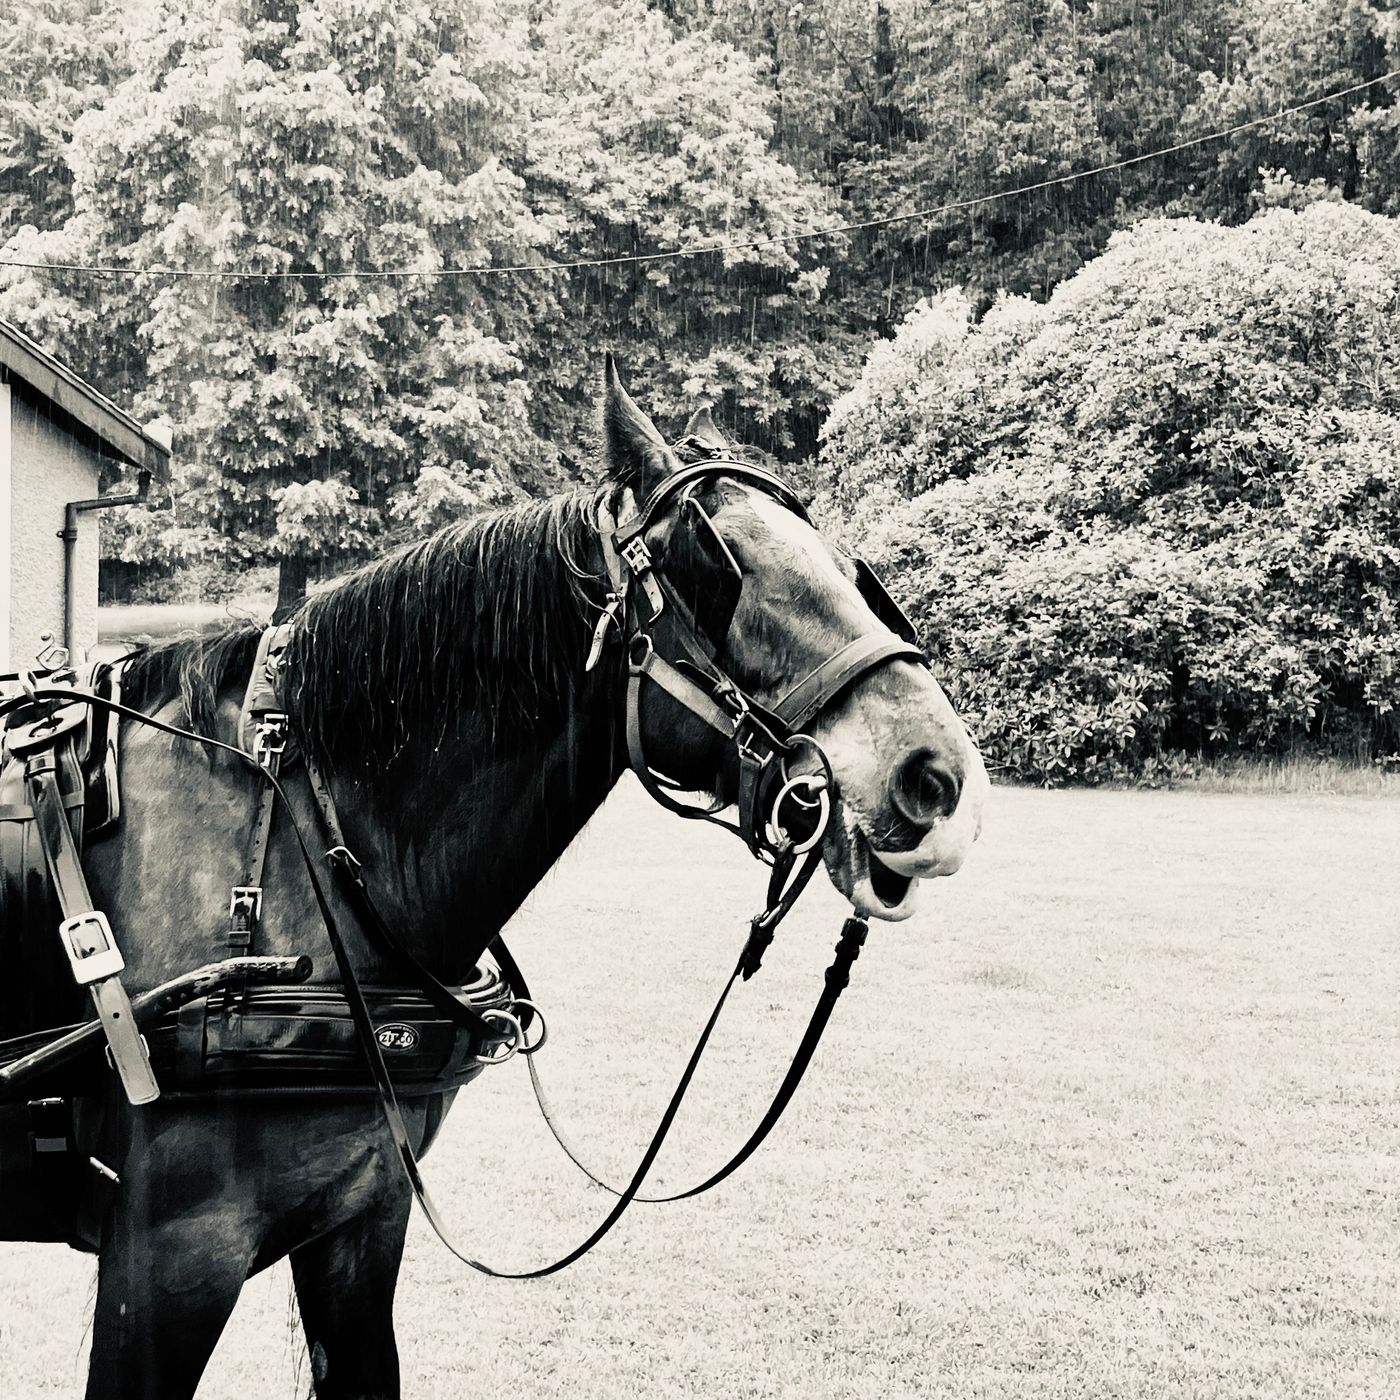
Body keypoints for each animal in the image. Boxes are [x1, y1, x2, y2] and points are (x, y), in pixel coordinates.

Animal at [13, 358, 988, 1398]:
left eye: (848, 568)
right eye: (718, 566)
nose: (939, 777)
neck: (295, 832)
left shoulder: (361, 1220)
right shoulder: (170, 1251)